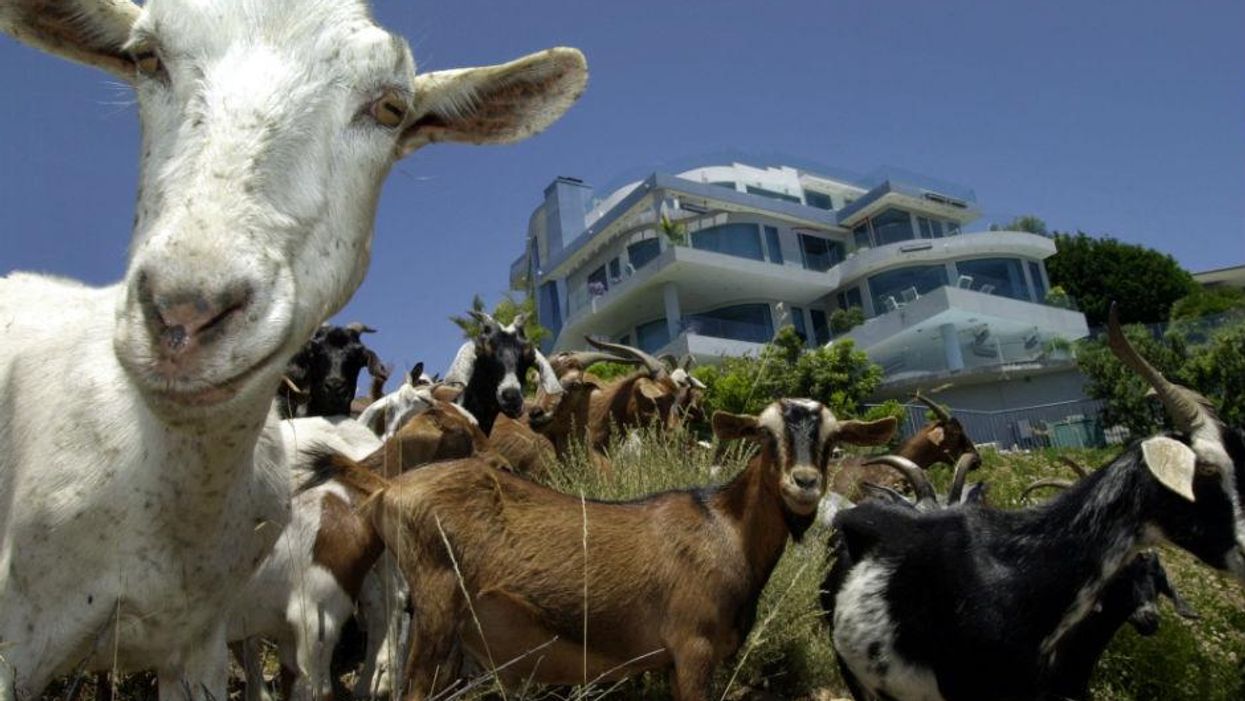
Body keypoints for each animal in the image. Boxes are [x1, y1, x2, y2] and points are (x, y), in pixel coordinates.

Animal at [320, 398, 896, 700]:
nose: (804, 483)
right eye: (766, 434)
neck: (724, 526)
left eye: (832, 440)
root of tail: (388, 488)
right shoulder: (693, 648)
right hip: (438, 601)